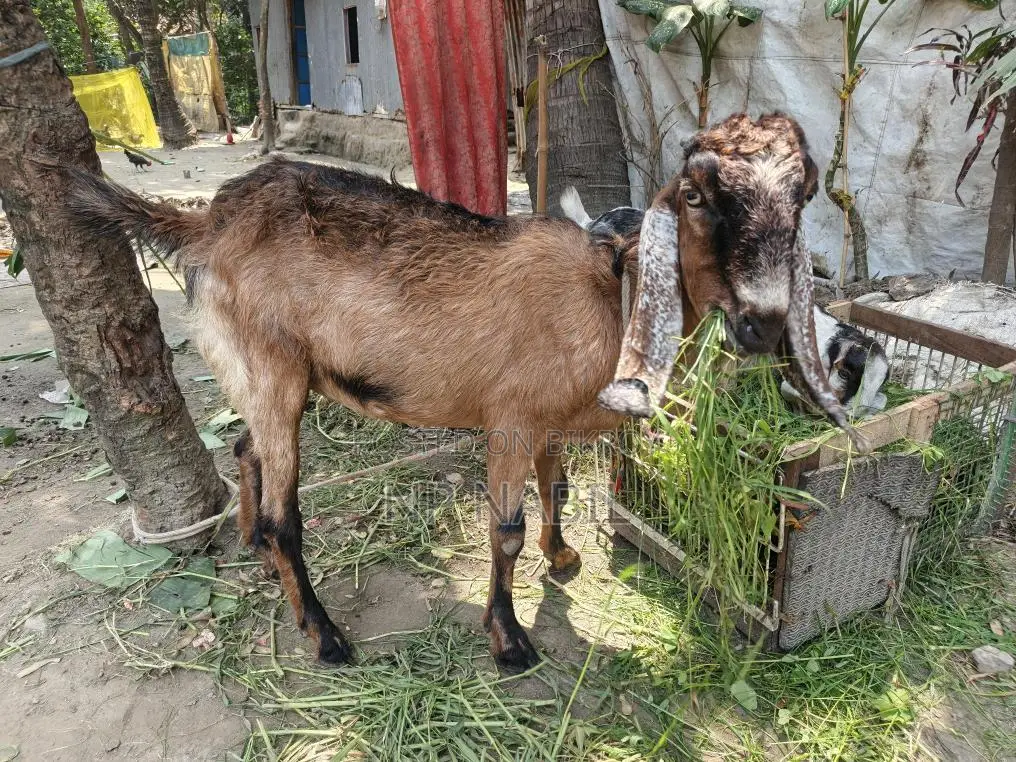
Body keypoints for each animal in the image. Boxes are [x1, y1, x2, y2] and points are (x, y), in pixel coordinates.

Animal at [68, 113, 855, 671]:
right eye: (694, 196)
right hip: (273, 365)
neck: (607, 291)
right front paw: (508, 641)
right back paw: (324, 635)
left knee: (246, 451)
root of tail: (206, 220)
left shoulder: (544, 421)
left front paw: (562, 557)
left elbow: (555, 484)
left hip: (270, 374)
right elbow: (504, 530)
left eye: (802, 197)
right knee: (285, 513)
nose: (762, 322)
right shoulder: (509, 418)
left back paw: (259, 559)